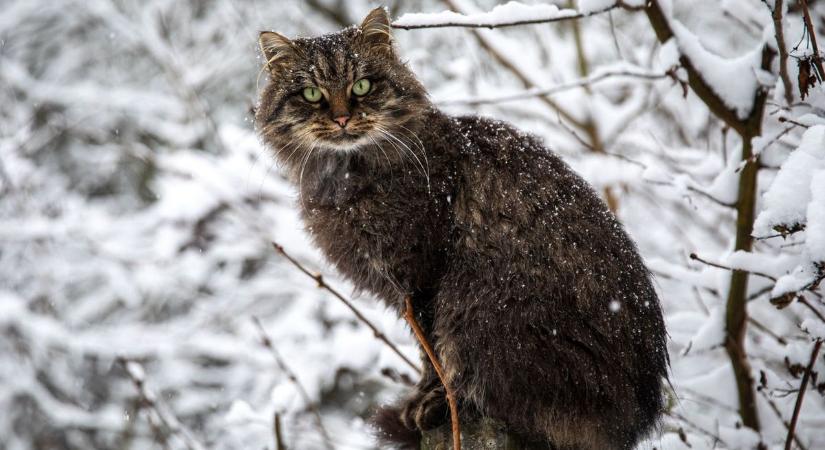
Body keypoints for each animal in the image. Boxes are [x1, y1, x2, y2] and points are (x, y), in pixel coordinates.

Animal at [256, 7, 668, 450]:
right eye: (311, 94)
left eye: (362, 85)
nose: (342, 117)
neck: (345, 177)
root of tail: (634, 421)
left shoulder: (422, 276)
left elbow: (432, 355)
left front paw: (430, 398)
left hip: (483, 303)